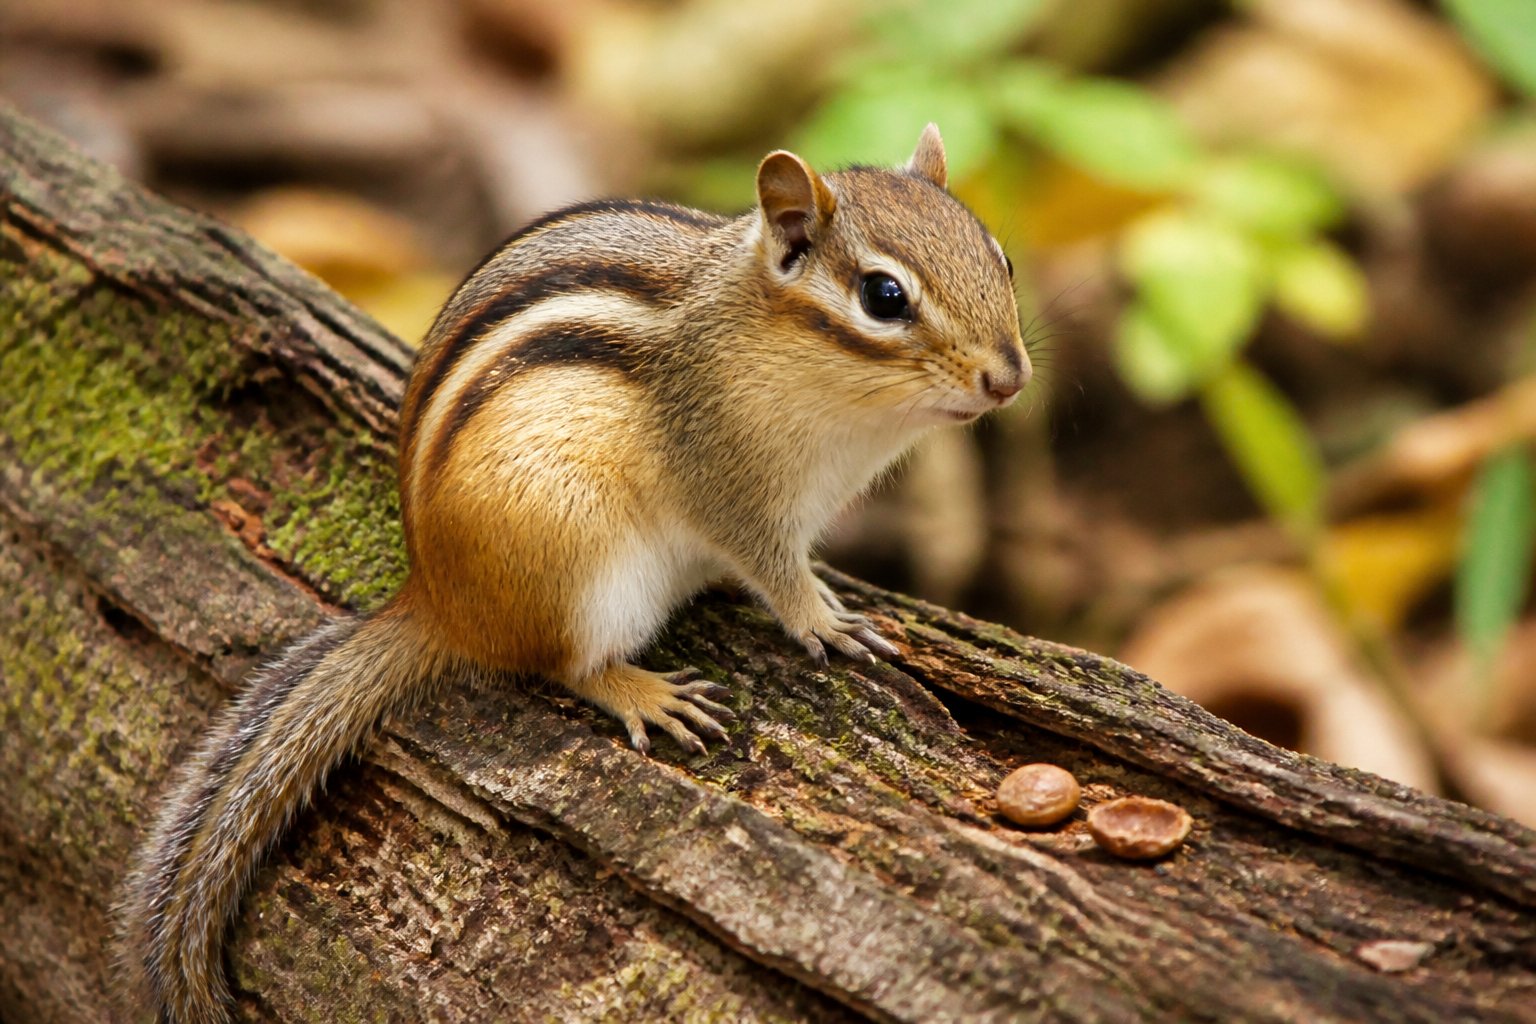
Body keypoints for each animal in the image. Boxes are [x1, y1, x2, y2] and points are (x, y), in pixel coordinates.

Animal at [121, 123, 1029, 1023]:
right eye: (884, 297)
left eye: (1001, 256)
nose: (1010, 378)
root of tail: (441, 600)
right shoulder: (731, 482)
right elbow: (775, 570)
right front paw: (823, 621)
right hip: (582, 565)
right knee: (565, 664)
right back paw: (644, 693)